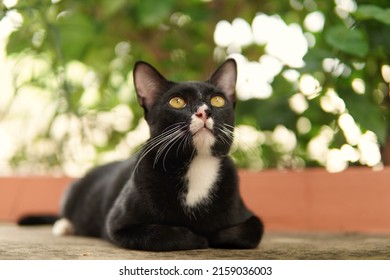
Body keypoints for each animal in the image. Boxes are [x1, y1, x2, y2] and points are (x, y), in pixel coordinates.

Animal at [51, 59, 264, 252]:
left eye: (217, 100)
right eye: (177, 101)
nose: (205, 111)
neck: (197, 164)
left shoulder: (247, 213)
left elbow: (249, 230)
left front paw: (216, 234)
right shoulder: (118, 224)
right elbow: (160, 235)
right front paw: (198, 238)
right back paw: (64, 226)